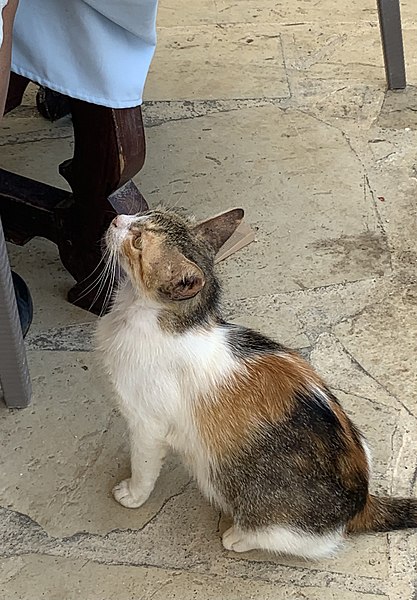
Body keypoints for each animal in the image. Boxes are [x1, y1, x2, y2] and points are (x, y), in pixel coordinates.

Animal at [96, 206, 416, 556]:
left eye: (138, 240)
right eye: (144, 212)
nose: (116, 219)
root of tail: (362, 502)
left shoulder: (147, 425)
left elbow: (143, 465)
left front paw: (132, 493)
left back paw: (239, 536)